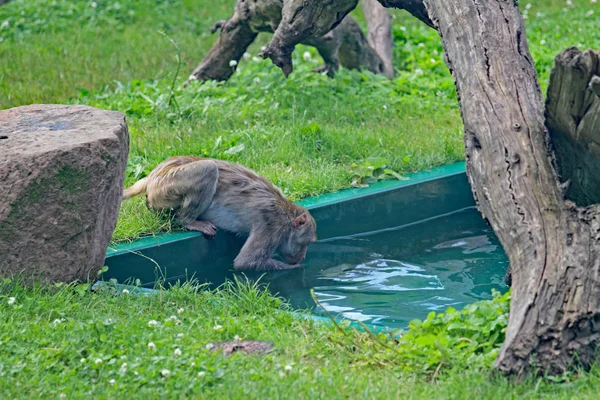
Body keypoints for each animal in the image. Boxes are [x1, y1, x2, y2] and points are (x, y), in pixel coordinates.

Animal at [122, 156, 318, 272]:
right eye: (306, 243)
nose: (303, 255)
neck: (287, 213)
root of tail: (152, 177)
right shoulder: (272, 226)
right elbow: (245, 262)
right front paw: (297, 267)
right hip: (166, 188)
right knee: (207, 168)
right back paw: (189, 221)